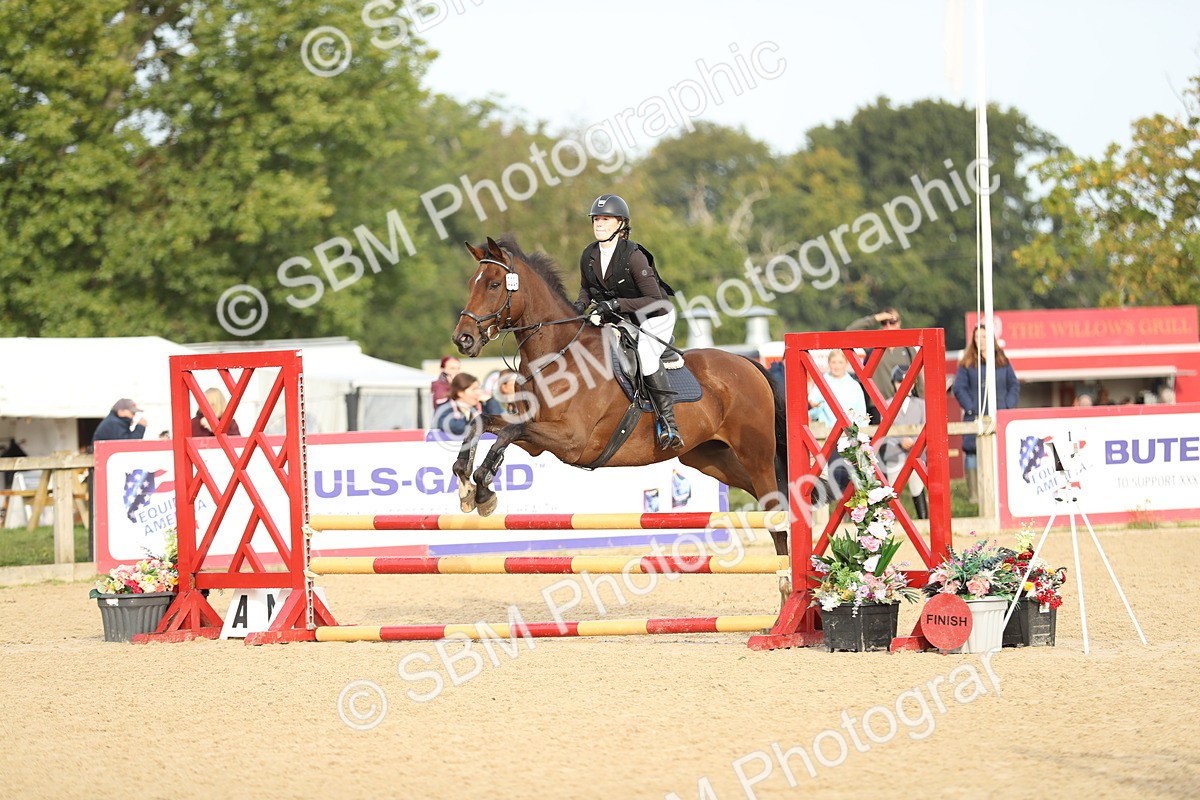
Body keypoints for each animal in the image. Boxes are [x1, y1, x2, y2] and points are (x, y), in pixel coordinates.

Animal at [450, 235, 793, 556]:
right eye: (470, 284)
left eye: (494, 284)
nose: (462, 339)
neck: (559, 356)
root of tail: (748, 364)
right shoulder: (537, 440)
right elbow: (484, 421)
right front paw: (466, 484)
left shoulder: (571, 439)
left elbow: (508, 431)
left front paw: (483, 488)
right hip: (708, 456)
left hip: (755, 454)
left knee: (775, 510)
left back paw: (786, 578)